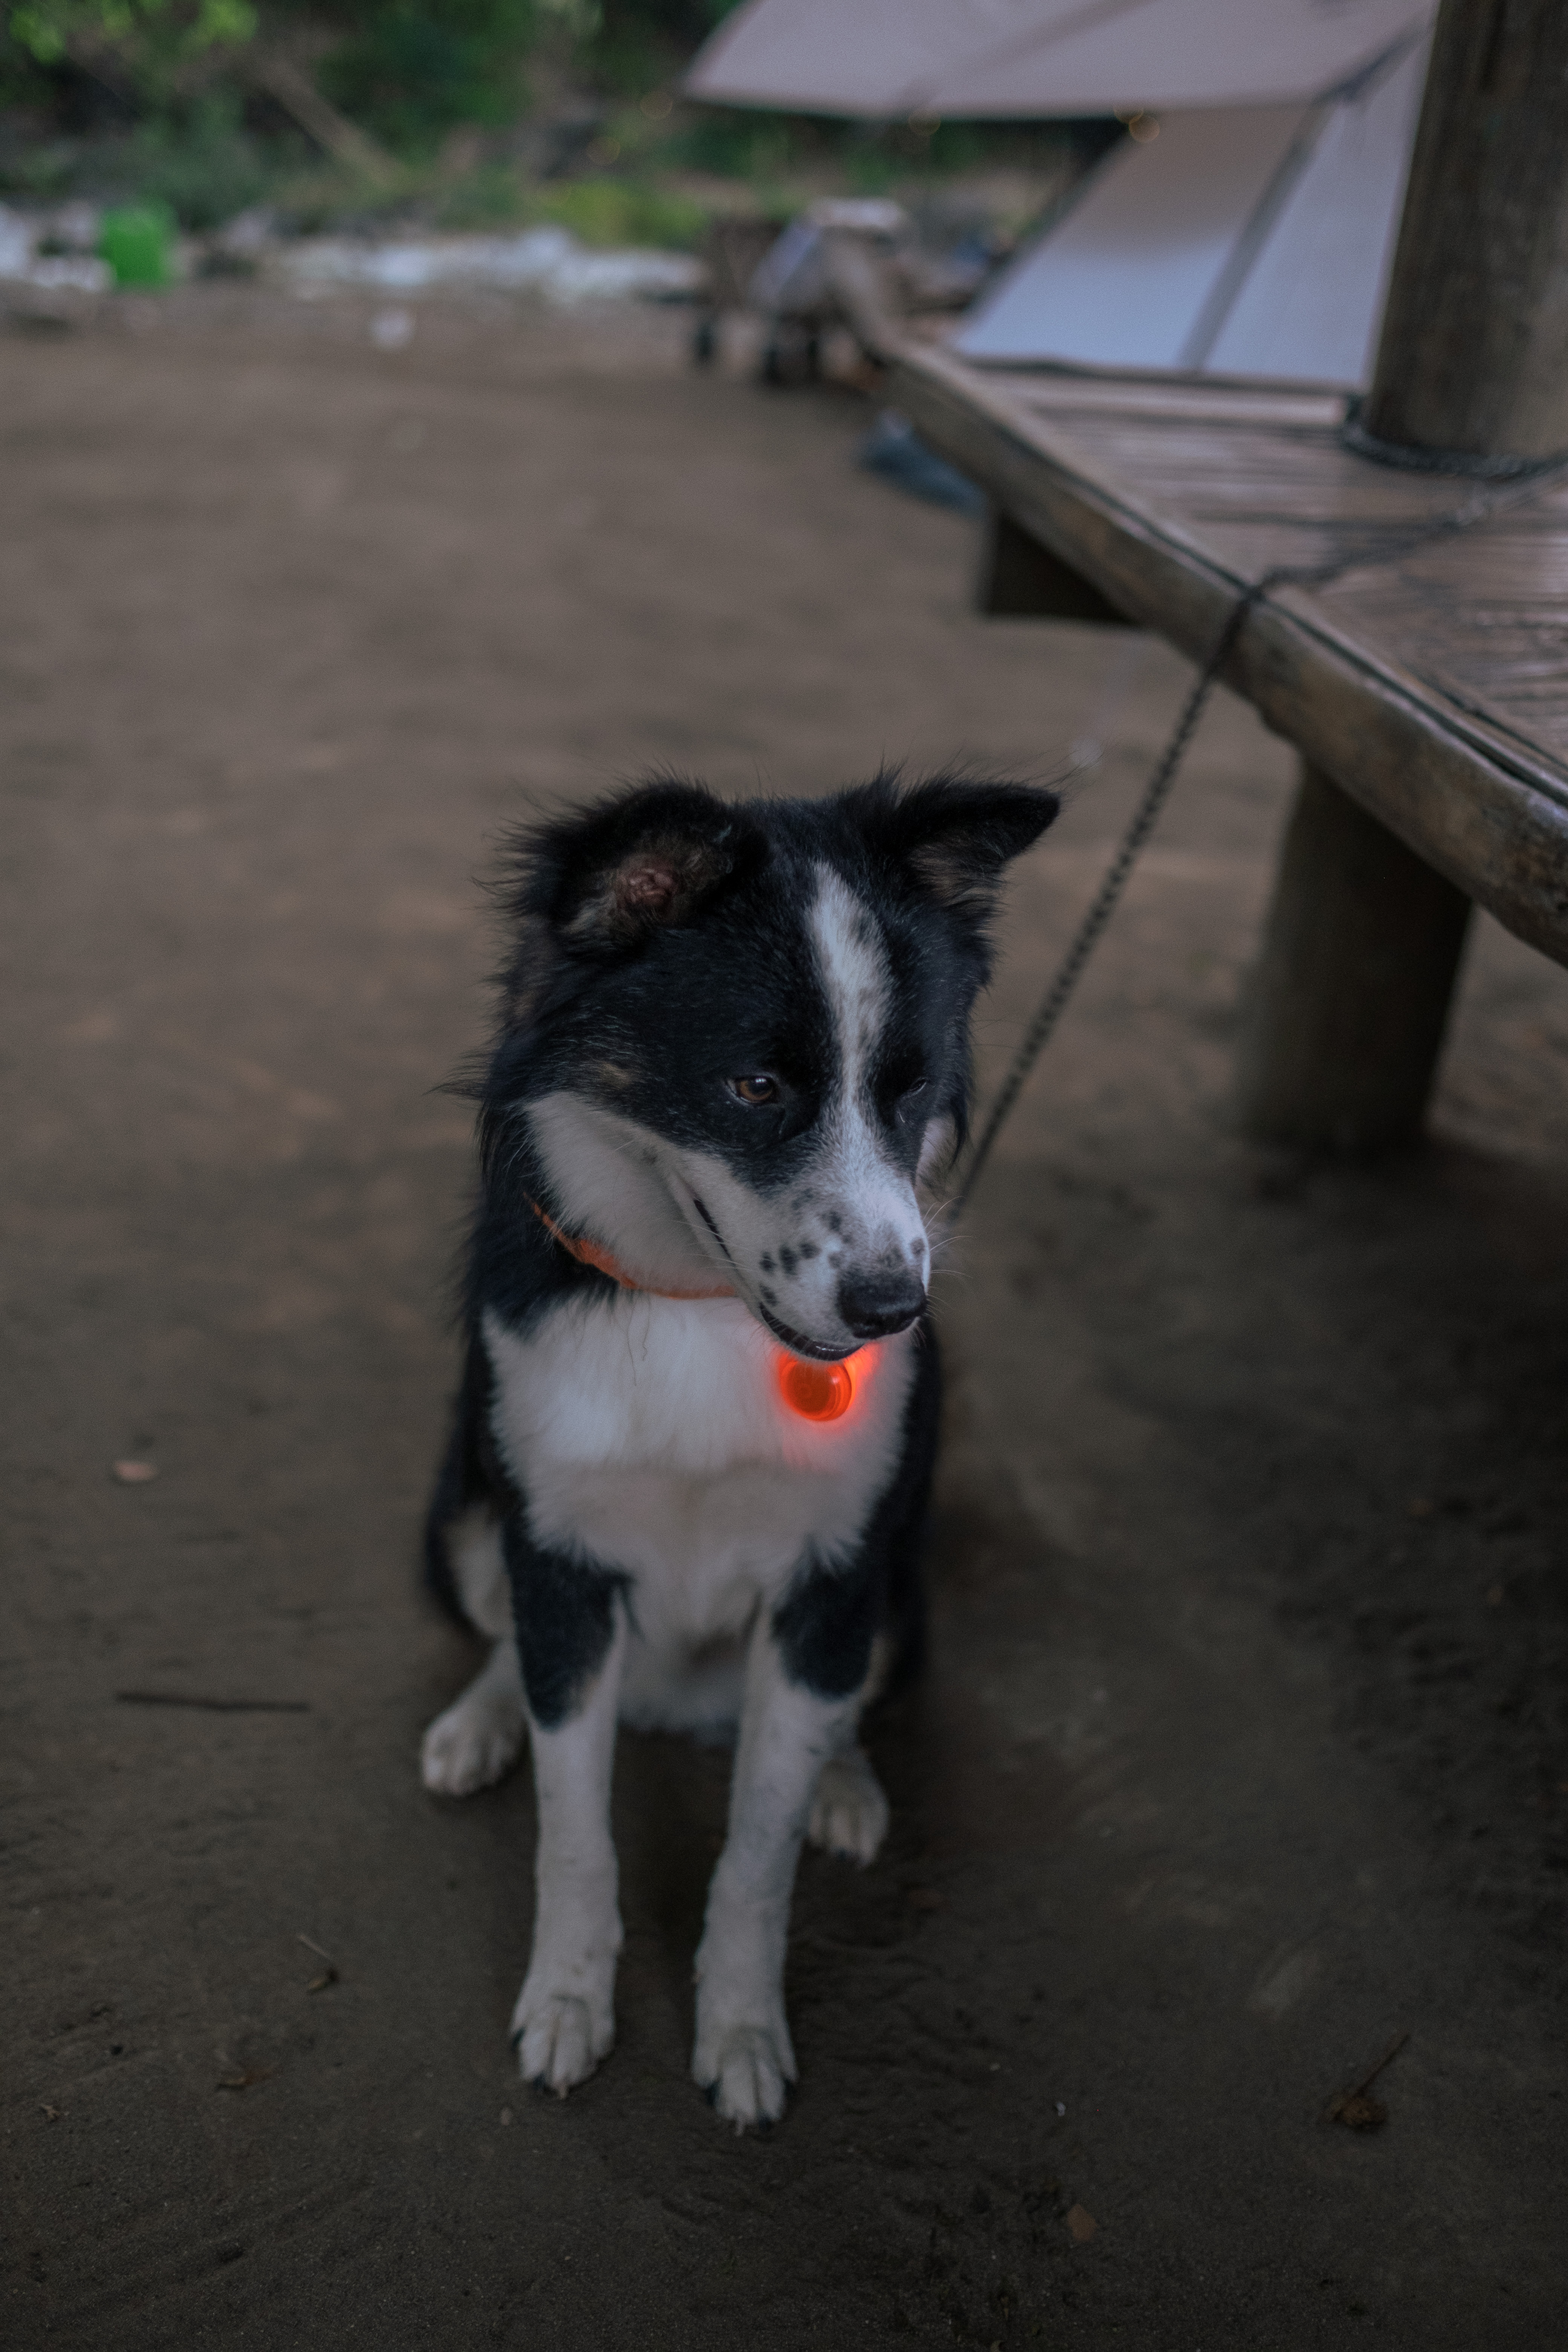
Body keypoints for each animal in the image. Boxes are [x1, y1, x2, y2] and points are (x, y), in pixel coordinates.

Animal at [421, 771, 1053, 2135]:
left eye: (909, 1091)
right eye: (757, 1088)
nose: (892, 1309)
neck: (693, 1309)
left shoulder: (833, 1578)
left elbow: (757, 1852)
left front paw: (744, 2027)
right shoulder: (558, 1553)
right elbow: (573, 1828)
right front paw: (569, 1998)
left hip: (900, 1590)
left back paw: (845, 1785)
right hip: (456, 1515)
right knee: (508, 1642)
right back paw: (483, 1721)